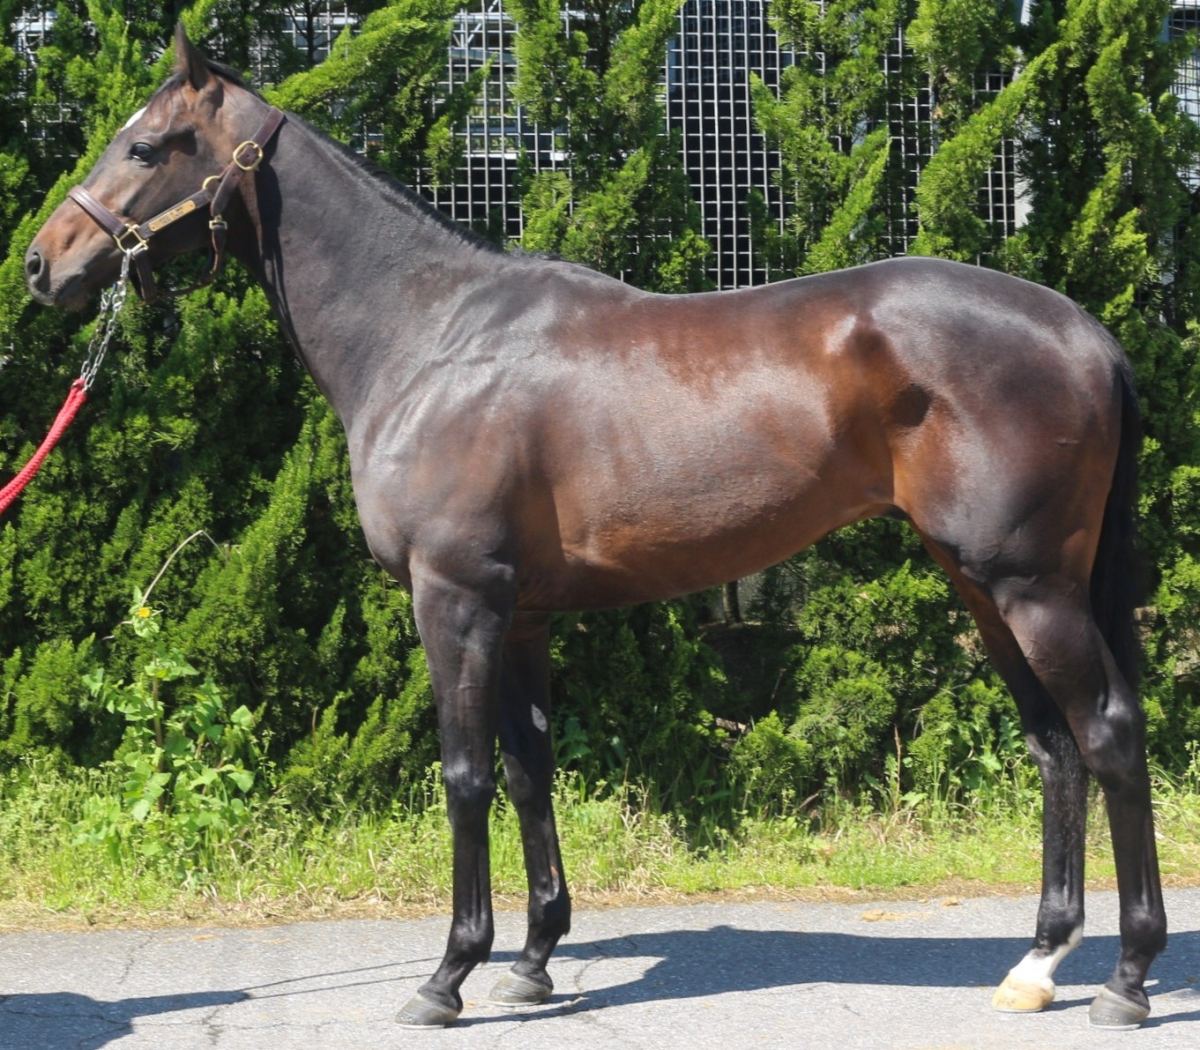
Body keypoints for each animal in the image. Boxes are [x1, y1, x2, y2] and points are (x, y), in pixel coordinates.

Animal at [24, 25, 1165, 1031]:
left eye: (145, 146)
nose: (42, 265)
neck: (429, 339)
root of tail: (1086, 331)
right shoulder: (520, 615)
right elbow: (531, 770)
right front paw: (532, 962)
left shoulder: (455, 601)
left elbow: (467, 777)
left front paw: (448, 976)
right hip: (981, 585)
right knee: (1055, 746)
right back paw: (1037, 966)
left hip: (1029, 587)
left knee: (1108, 733)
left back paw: (1125, 978)